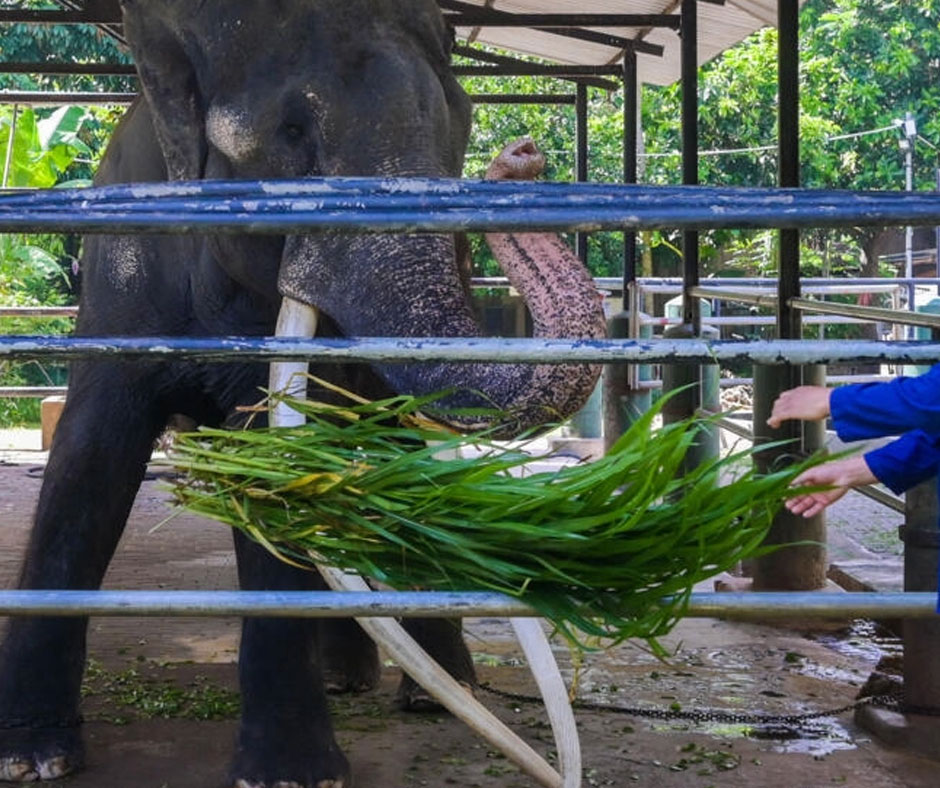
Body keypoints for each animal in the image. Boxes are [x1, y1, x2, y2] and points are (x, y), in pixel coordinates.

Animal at [0, 3, 604, 784]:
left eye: (459, 121)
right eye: (291, 133)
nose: (520, 156)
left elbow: (272, 469)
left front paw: (291, 773)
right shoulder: (119, 274)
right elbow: (88, 460)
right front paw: (30, 757)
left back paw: (430, 693)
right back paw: (352, 679)